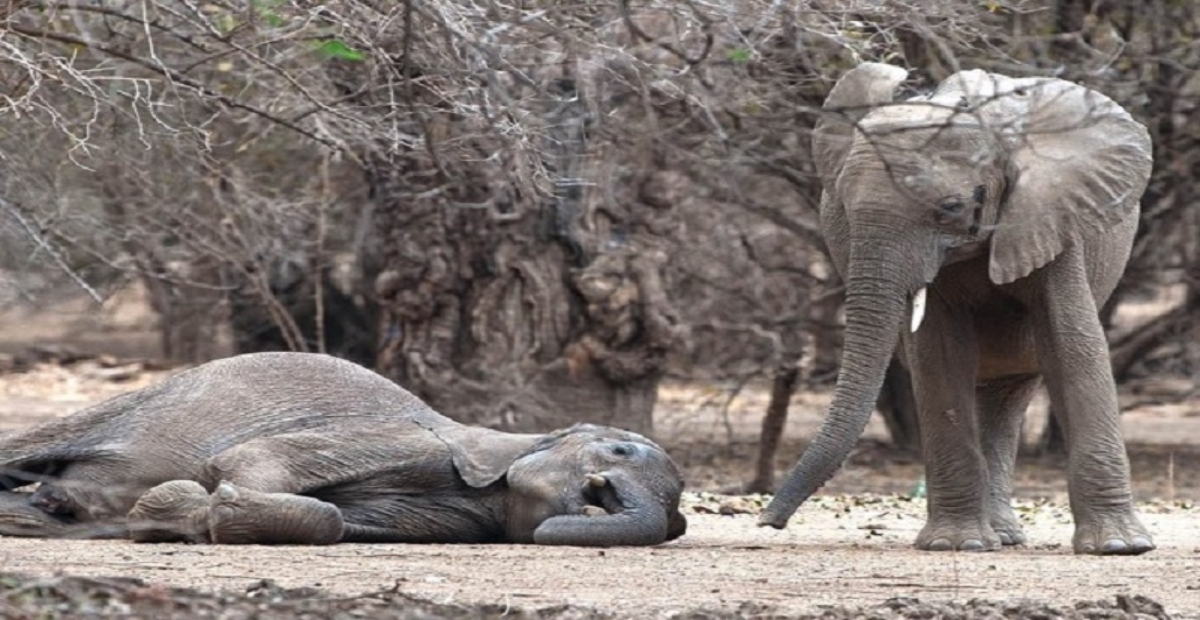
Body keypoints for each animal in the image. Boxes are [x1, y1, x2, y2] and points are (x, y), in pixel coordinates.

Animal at [0, 350, 686, 544]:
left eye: (679, 516)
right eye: (621, 454)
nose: (600, 495)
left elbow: (334, 521)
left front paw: (176, 513)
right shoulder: (398, 438)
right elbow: (247, 462)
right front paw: (188, 504)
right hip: (129, 404)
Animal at [758, 65, 1152, 554]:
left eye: (950, 207)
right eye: (845, 210)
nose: (767, 521)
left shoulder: (1053, 215)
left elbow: (1072, 345)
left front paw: (1119, 547)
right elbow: (941, 357)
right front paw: (956, 544)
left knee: (1011, 392)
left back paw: (1005, 536)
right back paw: (994, 536)